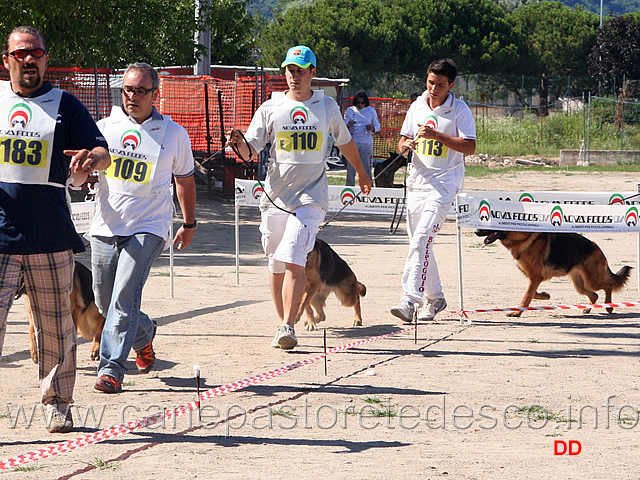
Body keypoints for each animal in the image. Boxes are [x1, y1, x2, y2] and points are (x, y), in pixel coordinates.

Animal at [472, 231, 632, 316]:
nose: (476, 231)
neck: (522, 236)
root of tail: (597, 247)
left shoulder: (535, 277)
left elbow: (526, 297)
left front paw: (517, 313)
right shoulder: (534, 278)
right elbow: (531, 294)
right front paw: (544, 295)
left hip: (593, 279)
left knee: (608, 285)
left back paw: (609, 306)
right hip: (579, 284)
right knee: (594, 295)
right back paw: (587, 308)